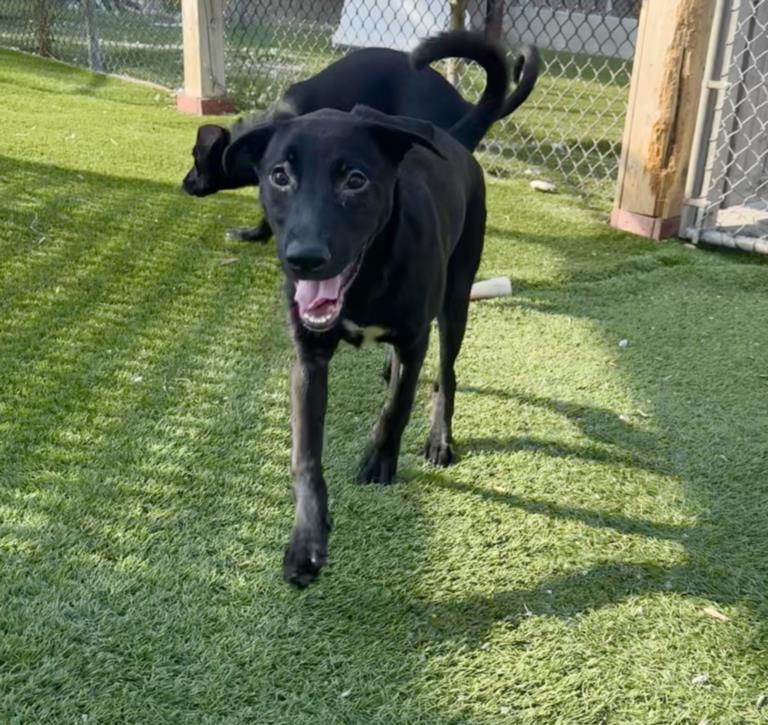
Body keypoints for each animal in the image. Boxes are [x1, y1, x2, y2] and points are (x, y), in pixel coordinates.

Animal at [222, 32, 516, 588]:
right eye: (278, 176)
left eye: (354, 181)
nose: (304, 258)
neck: (366, 279)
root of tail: (455, 141)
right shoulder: (308, 360)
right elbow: (304, 455)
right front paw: (306, 542)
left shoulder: (415, 337)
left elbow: (398, 406)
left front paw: (380, 461)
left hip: (455, 300)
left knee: (445, 374)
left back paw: (439, 439)